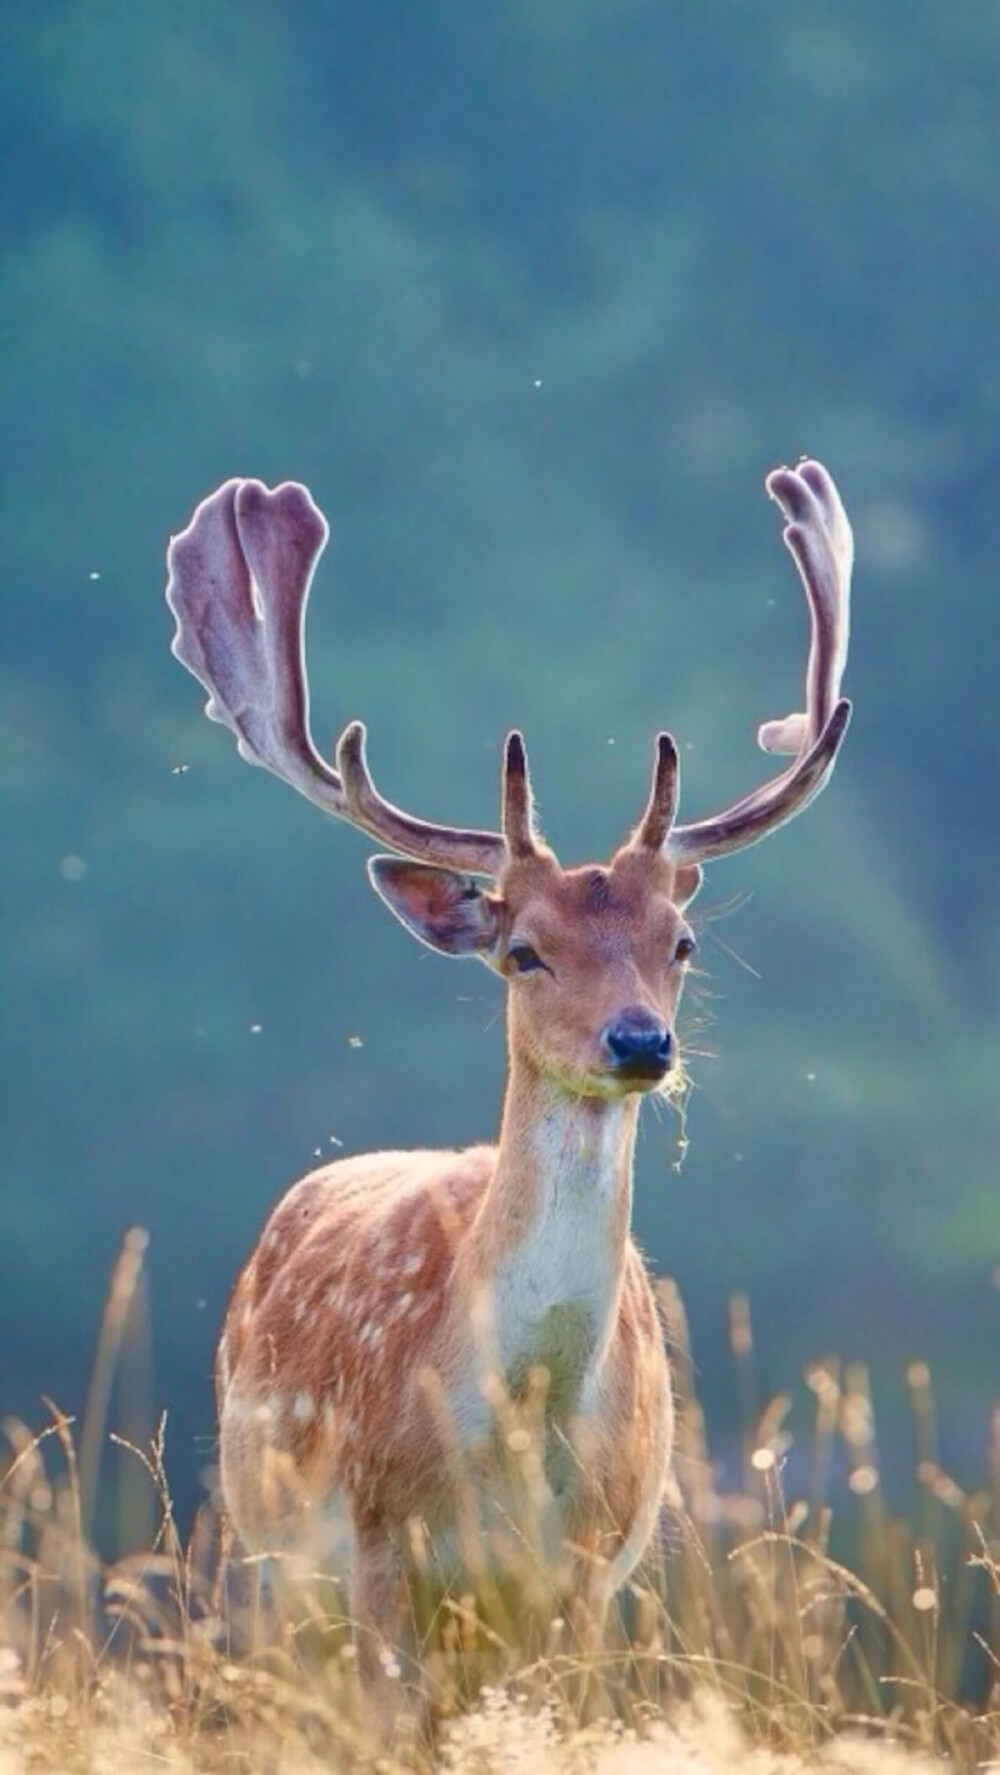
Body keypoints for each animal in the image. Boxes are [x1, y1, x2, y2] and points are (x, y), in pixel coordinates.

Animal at [166, 457, 852, 1704]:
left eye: (680, 941)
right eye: (524, 949)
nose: (639, 1041)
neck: (515, 1434)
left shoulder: (587, 1571)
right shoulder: (377, 1547)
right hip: (267, 1555)